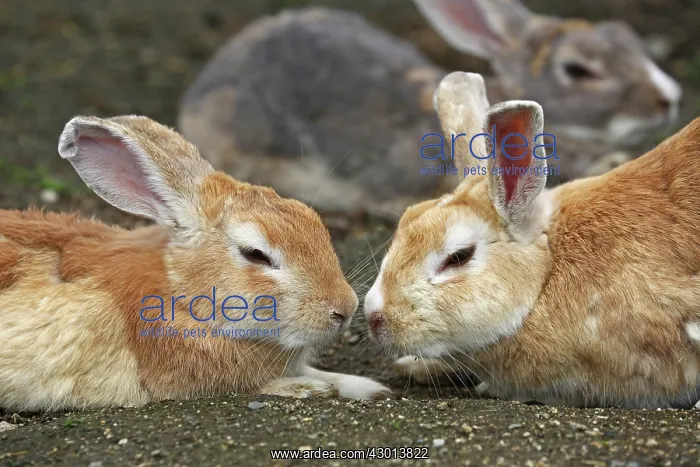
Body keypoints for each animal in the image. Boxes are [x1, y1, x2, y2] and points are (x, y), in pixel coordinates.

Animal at [0, 114, 392, 412]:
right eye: (255, 254)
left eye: (312, 219)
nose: (344, 309)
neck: (182, 294)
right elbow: (255, 386)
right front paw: (307, 389)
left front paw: (369, 387)